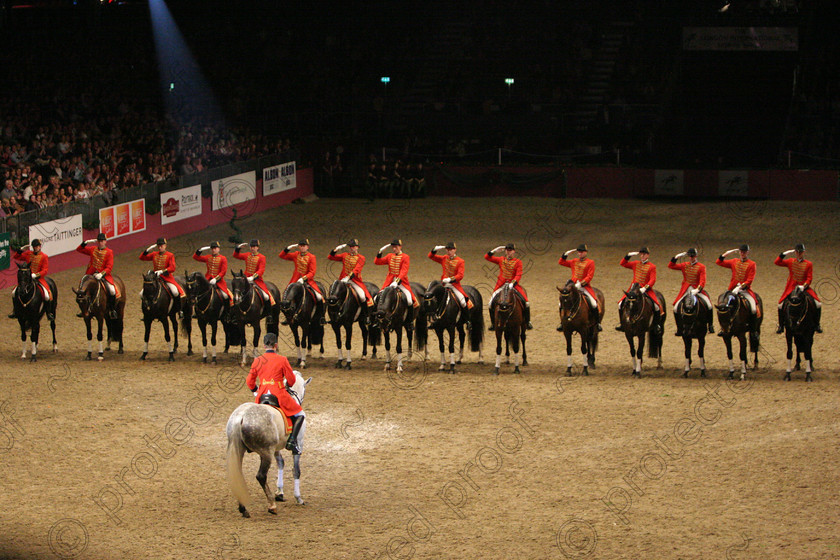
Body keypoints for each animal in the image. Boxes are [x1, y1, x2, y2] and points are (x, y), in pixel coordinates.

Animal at [225, 370, 310, 520]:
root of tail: (241, 417)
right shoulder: (298, 445)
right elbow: (296, 470)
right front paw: (298, 498)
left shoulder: (276, 449)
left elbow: (281, 463)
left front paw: (280, 492)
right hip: (266, 453)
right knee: (261, 476)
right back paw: (271, 506)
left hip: (239, 449)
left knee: (238, 474)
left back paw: (243, 508)